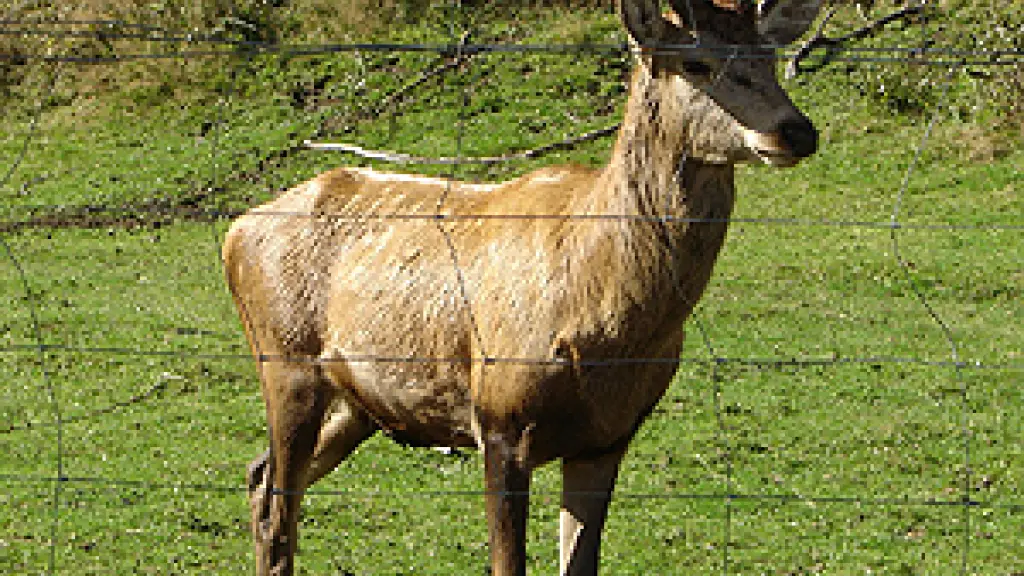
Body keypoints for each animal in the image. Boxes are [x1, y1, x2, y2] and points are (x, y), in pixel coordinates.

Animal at [222, 0, 824, 574]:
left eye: (769, 56)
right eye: (694, 62)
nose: (797, 130)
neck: (605, 323)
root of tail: (235, 231)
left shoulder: (608, 436)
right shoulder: (499, 418)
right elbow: (506, 563)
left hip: (360, 402)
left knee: (260, 476)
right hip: (286, 362)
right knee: (277, 505)